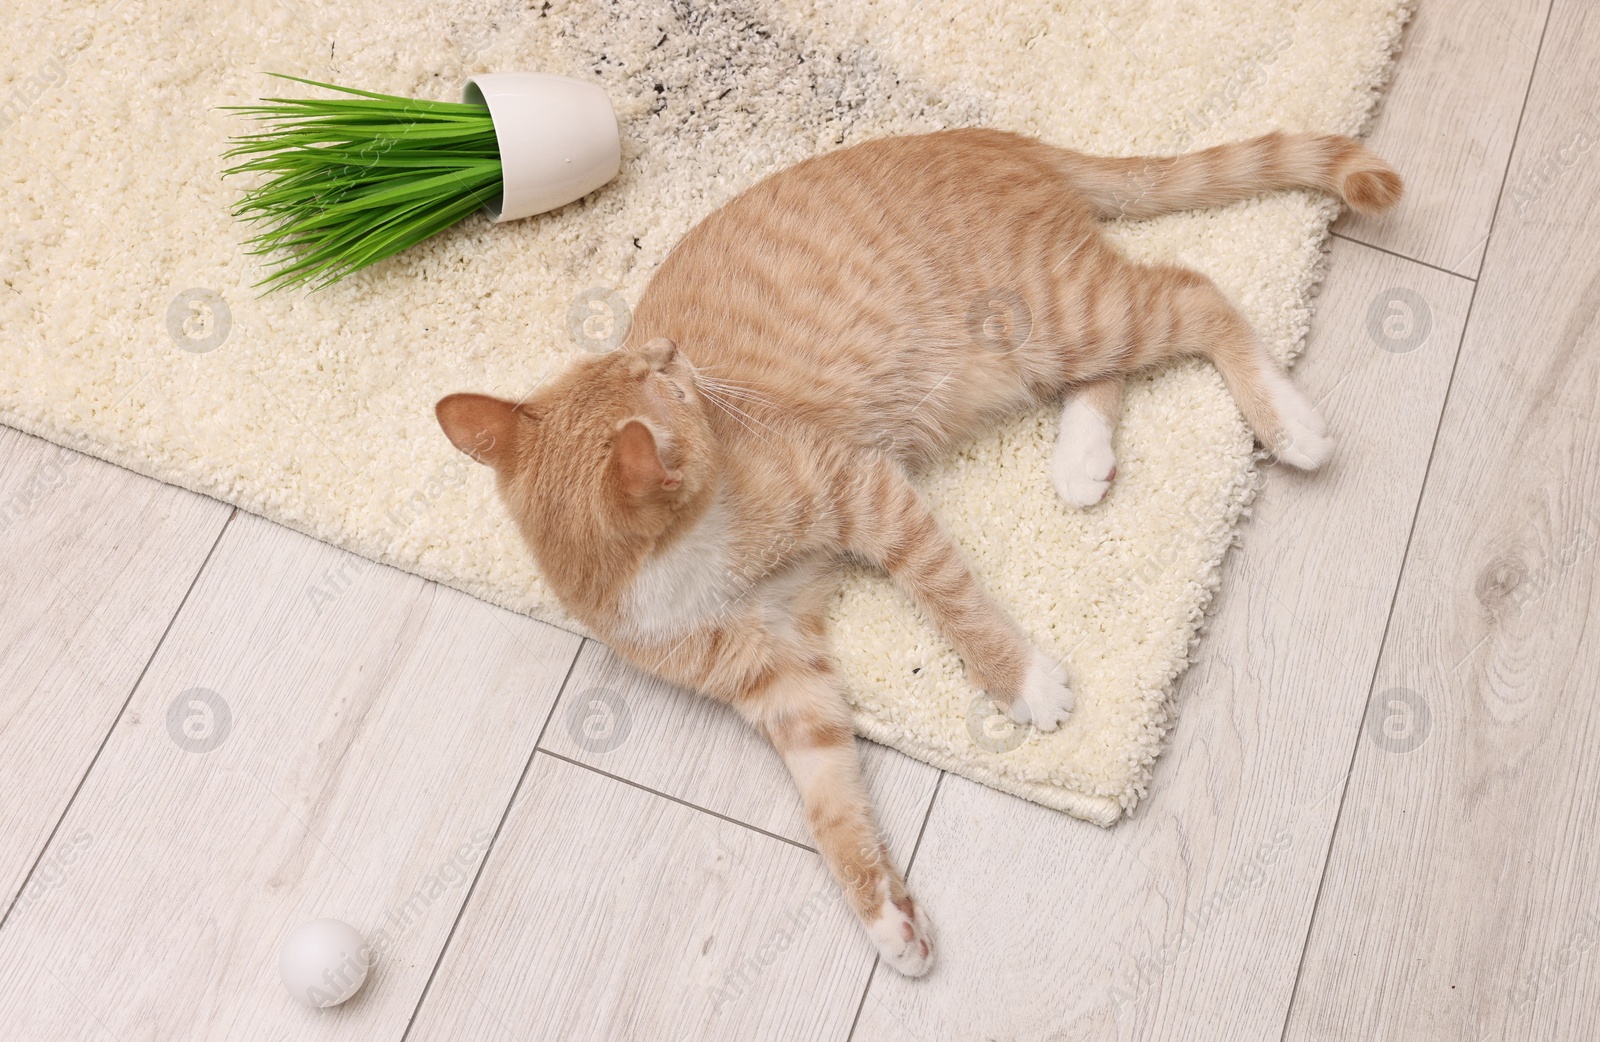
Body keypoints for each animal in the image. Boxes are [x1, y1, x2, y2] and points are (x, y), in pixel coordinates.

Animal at [435, 130, 1401, 979]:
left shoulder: (868, 492)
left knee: (1195, 292)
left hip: (1052, 314)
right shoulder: (782, 686)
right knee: (1124, 355)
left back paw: (1287, 422)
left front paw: (1021, 682)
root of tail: (995, 137)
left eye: (655, 369)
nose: (671, 349)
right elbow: (831, 808)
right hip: (1044, 342)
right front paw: (884, 918)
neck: (694, 562)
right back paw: (1083, 456)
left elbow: (951, 598)